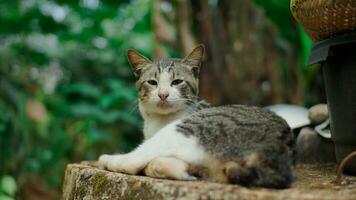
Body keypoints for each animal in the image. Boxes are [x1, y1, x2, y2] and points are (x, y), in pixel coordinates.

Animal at [98, 44, 296, 188]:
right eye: (152, 83)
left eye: (177, 82)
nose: (163, 94)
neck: (159, 121)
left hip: (188, 128)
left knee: (134, 160)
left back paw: (110, 159)